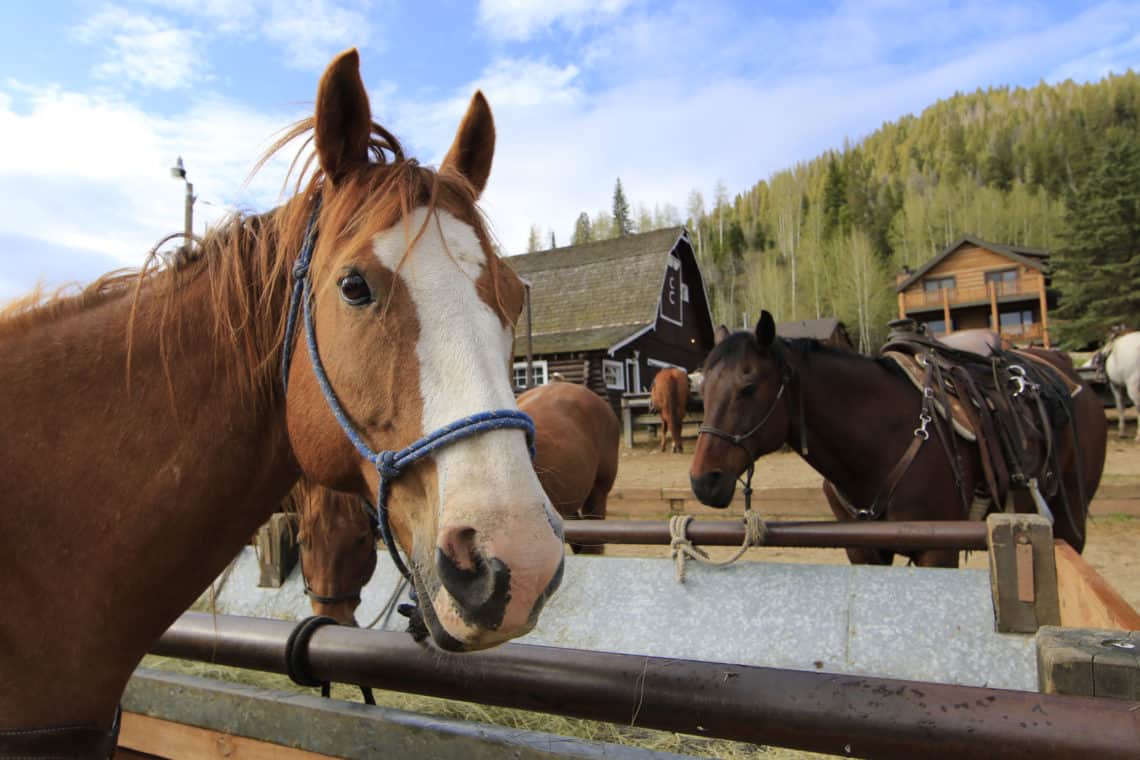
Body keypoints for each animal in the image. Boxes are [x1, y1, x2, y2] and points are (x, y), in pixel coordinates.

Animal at [684, 309, 1103, 569]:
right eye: (702, 390)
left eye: (749, 386)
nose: (704, 480)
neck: (879, 446)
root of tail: (1067, 374)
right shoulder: (864, 550)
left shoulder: (937, 552)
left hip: (1070, 518)